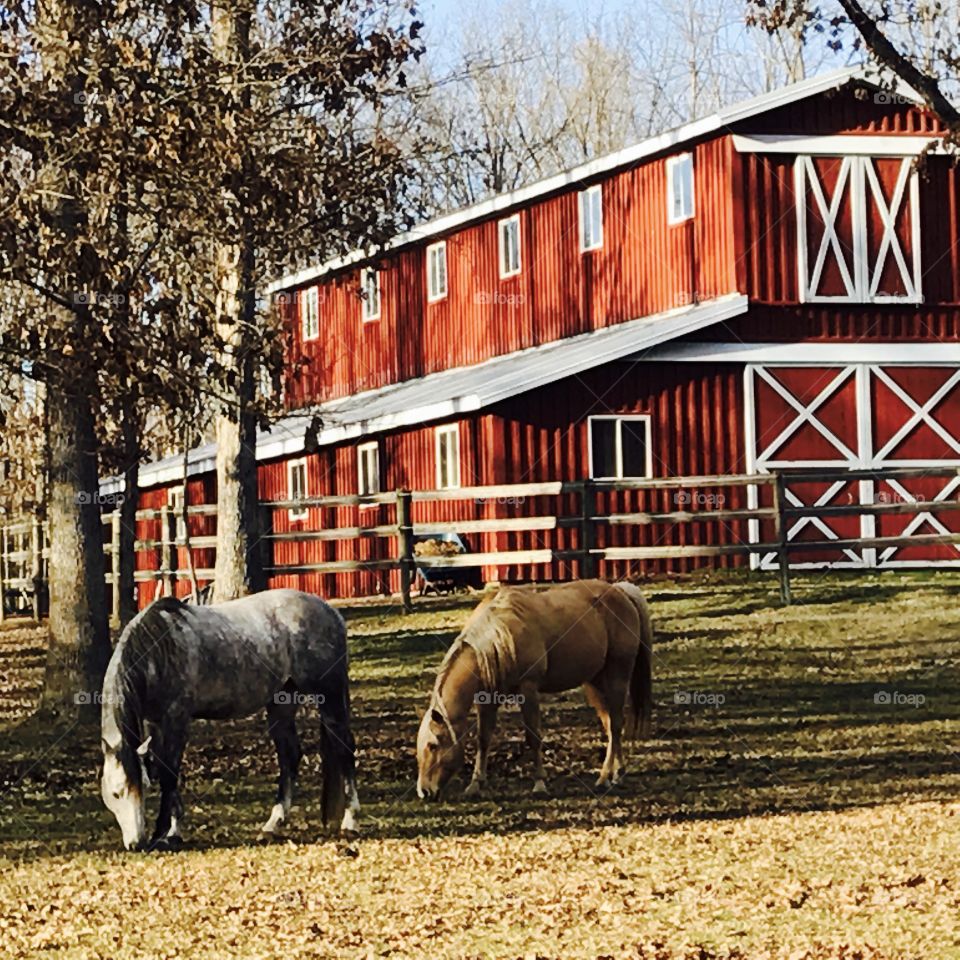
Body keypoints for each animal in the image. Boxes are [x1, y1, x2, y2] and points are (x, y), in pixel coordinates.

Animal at [100, 588, 360, 852]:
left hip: (330, 697)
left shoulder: (176, 719)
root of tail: (332, 613)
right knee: (290, 758)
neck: (158, 650)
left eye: (138, 788)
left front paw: (163, 834)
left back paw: (350, 823)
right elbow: (163, 769)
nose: (137, 843)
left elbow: (169, 773)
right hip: (282, 703)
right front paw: (172, 831)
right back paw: (271, 826)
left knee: (344, 749)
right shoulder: (154, 722)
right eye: (115, 794)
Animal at [414, 580, 652, 800]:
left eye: (433, 745)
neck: (497, 636)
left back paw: (603, 778)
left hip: (617, 677)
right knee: (611, 725)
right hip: (595, 683)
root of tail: (620, 591)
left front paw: (539, 783)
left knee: (616, 725)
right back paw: (617, 772)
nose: (424, 792)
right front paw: (475, 784)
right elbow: (483, 739)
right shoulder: (487, 698)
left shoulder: (528, 690)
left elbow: (533, 737)